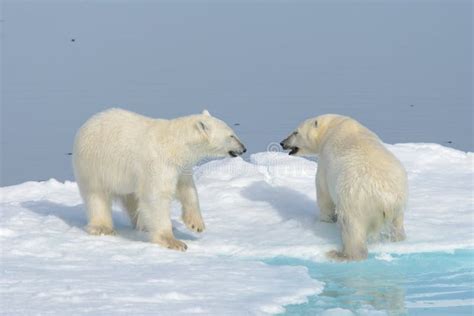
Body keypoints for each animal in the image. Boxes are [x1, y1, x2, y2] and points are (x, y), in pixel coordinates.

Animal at [73, 108, 248, 252]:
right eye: (231, 135)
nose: (244, 148)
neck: (176, 145)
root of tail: (87, 123)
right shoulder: (159, 163)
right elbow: (157, 196)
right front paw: (174, 241)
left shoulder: (180, 167)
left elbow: (187, 189)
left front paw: (196, 224)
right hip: (95, 165)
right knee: (97, 195)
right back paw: (103, 227)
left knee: (134, 198)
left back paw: (143, 224)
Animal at [282, 115, 408, 260]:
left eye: (295, 132)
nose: (282, 143)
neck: (332, 126)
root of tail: (384, 197)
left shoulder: (325, 162)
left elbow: (324, 193)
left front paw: (325, 220)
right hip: (398, 202)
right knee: (397, 224)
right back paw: (398, 239)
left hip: (355, 201)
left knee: (352, 228)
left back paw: (341, 254)